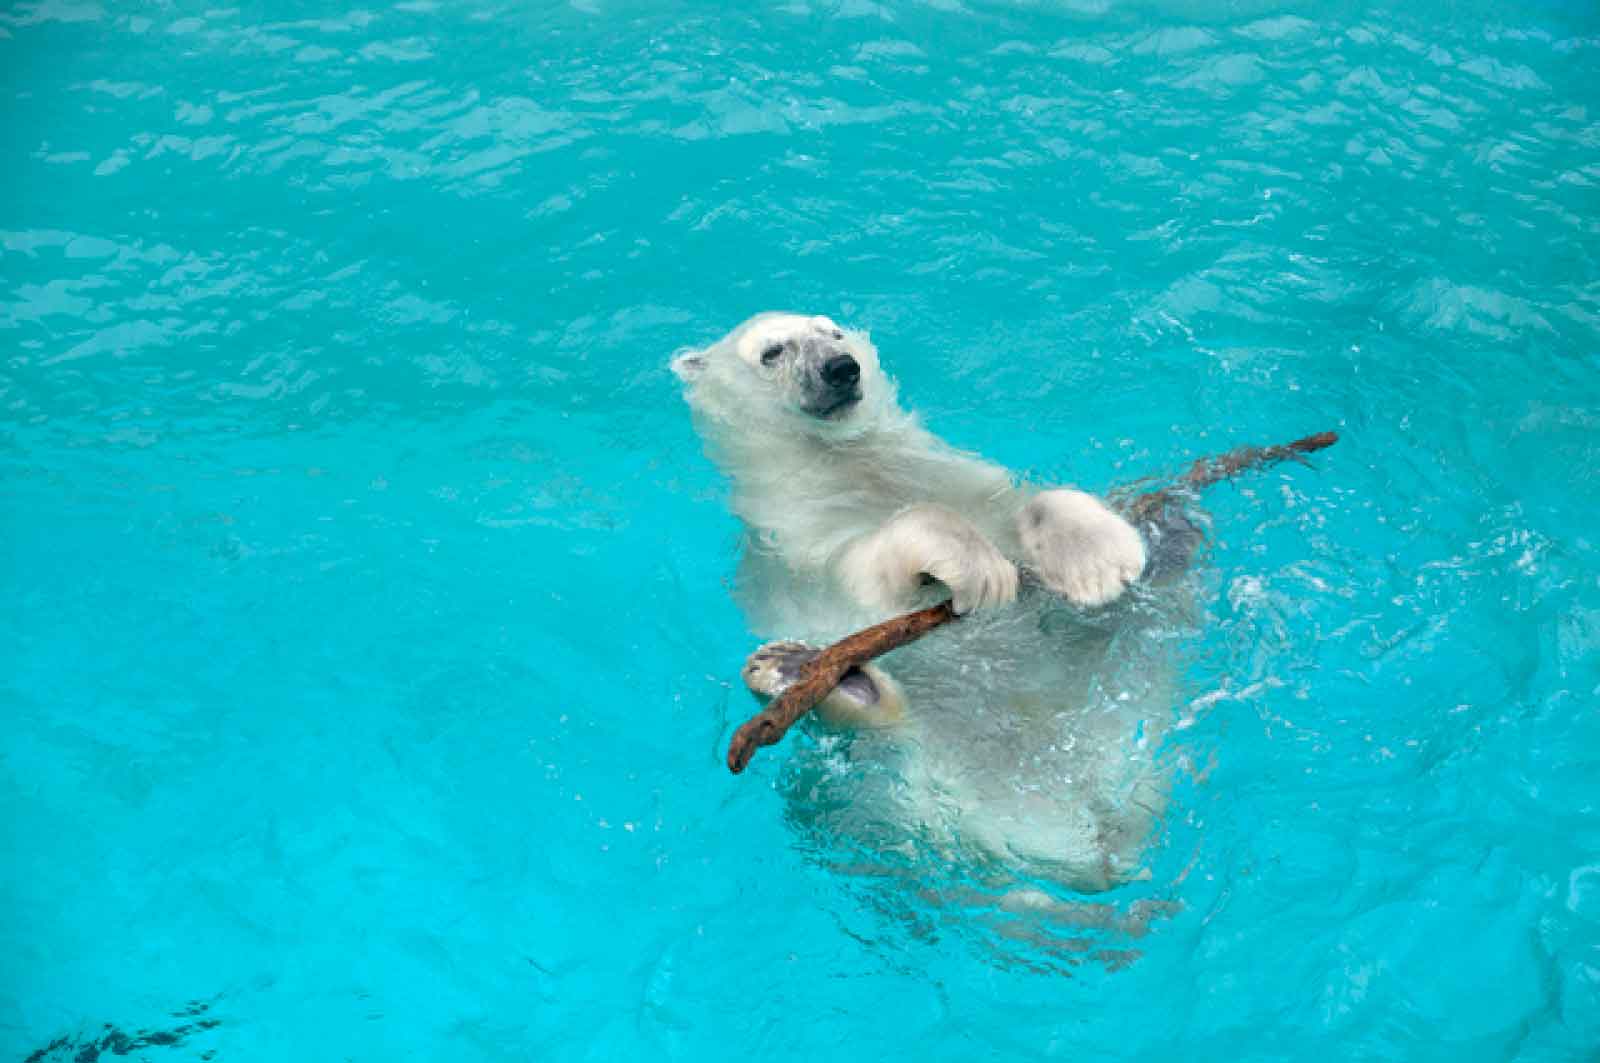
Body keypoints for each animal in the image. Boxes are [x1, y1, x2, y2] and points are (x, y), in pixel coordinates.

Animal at [668, 312, 1196, 890]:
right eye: (772, 352)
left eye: (833, 333)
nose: (841, 369)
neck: (845, 463)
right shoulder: (801, 546)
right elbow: (872, 572)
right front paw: (983, 571)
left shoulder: (966, 480)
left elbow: (1025, 508)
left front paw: (1097, 555)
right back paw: (795, 670)